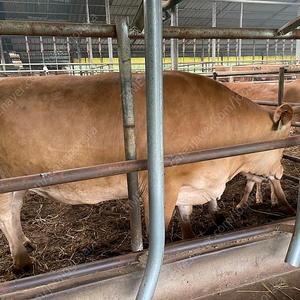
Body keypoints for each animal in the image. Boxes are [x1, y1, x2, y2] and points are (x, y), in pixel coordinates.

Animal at [0, 71, 296, 272]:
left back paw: (25, 243)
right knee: (6, 215)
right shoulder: (163, 186)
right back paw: (22, 261)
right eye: (283, 147)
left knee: (14, 211)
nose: (282, 172)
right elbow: (160, 228)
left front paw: (189, 241)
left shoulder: (189, 186)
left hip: (19, 181)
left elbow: (185, 215)